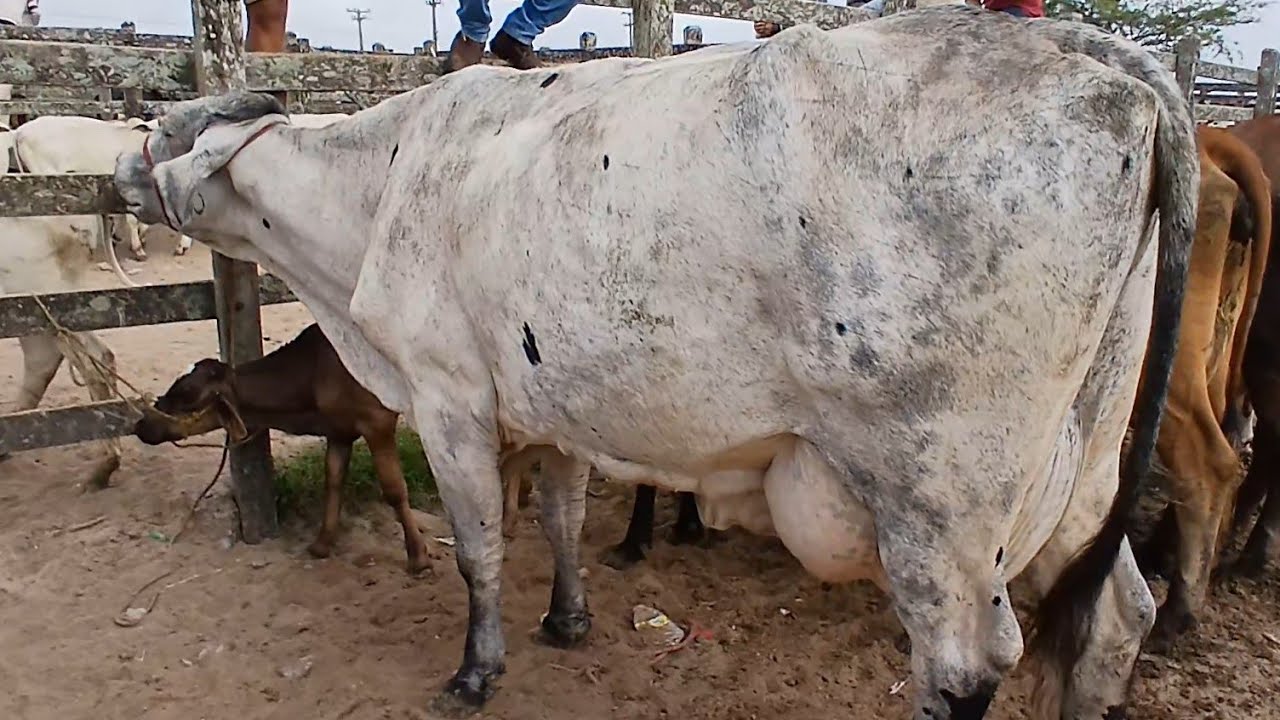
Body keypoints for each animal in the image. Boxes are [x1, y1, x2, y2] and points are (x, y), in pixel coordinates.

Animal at [113, 9, 1197, 718]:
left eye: (164, 130)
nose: (120, 168)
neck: (384, 180)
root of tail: (1096, 53)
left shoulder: (448, 399)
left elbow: (477, 552)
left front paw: (475, 671)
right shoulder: (555, 407)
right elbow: (559, 520)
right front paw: (567, 620)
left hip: (942, 502)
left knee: (963, 667)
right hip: (1082, 468)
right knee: (1115, 616)